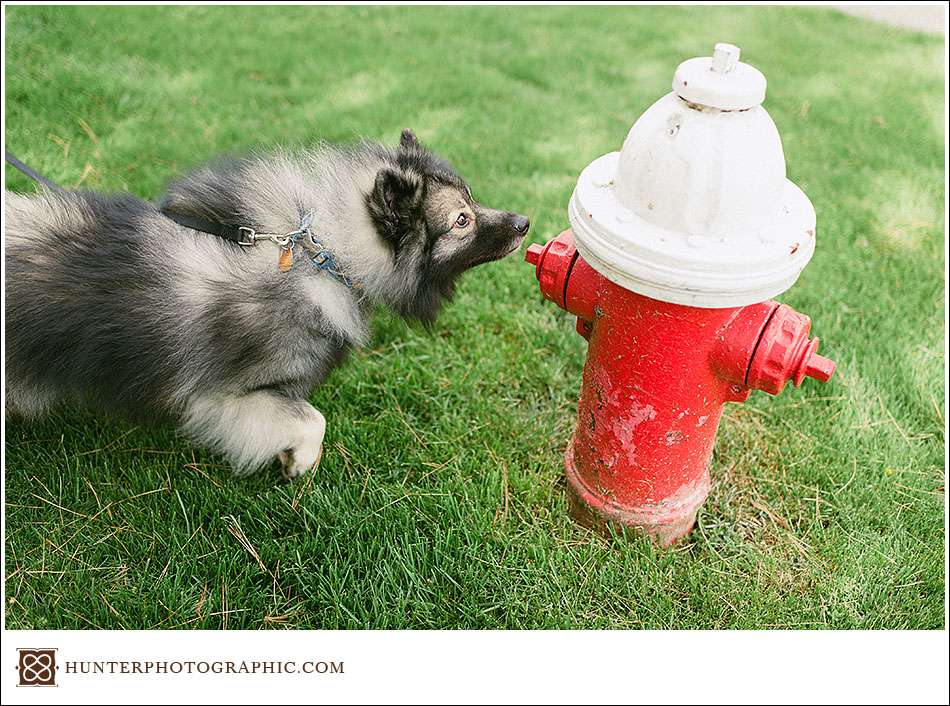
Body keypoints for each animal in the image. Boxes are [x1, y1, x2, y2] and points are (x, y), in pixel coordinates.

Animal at [3, 129, 532, 476]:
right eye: (462, 220)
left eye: (472, 199)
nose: (524, 222)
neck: (323, 256)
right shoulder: (225, 397)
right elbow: (312, 420)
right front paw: (300, 463)